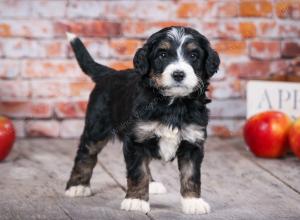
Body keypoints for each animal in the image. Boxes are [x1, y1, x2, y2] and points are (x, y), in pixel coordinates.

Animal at [65, 26, 220, 215]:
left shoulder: (193, 141)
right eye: (162, 54)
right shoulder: (136, 139)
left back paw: (152, 184)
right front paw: (136, 200)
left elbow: (191, 174)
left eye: (194, 55)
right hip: (97, 126)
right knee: (86, 154)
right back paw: (77, 186)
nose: (178, 74)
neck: (173, 104)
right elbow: (138, 171)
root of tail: (110, 73)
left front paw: (193, 202)